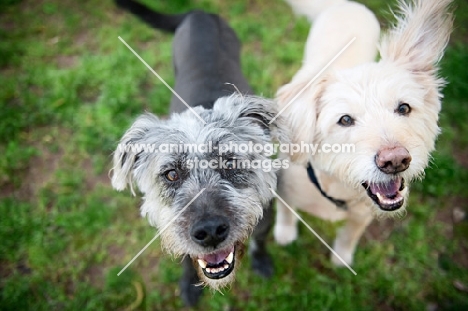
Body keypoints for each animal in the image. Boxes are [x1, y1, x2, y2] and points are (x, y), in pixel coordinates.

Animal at [112, 0, 288, 308]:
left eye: (230, 163)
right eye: (171, 174)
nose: (210, 232)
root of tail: (199, 12)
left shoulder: (265, 219)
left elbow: (260, 241)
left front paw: (261, 261)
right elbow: (185, 259)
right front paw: (189, 285)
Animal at [276, 0, 452, 268]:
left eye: (404, 108)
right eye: (345, 120)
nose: (396, 161)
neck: (338, 186)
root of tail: (344, 4)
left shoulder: (362, 216)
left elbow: (350, 235)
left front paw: (342, 258)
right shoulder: (285, 193)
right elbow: (286, 212)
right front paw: (284, 234)